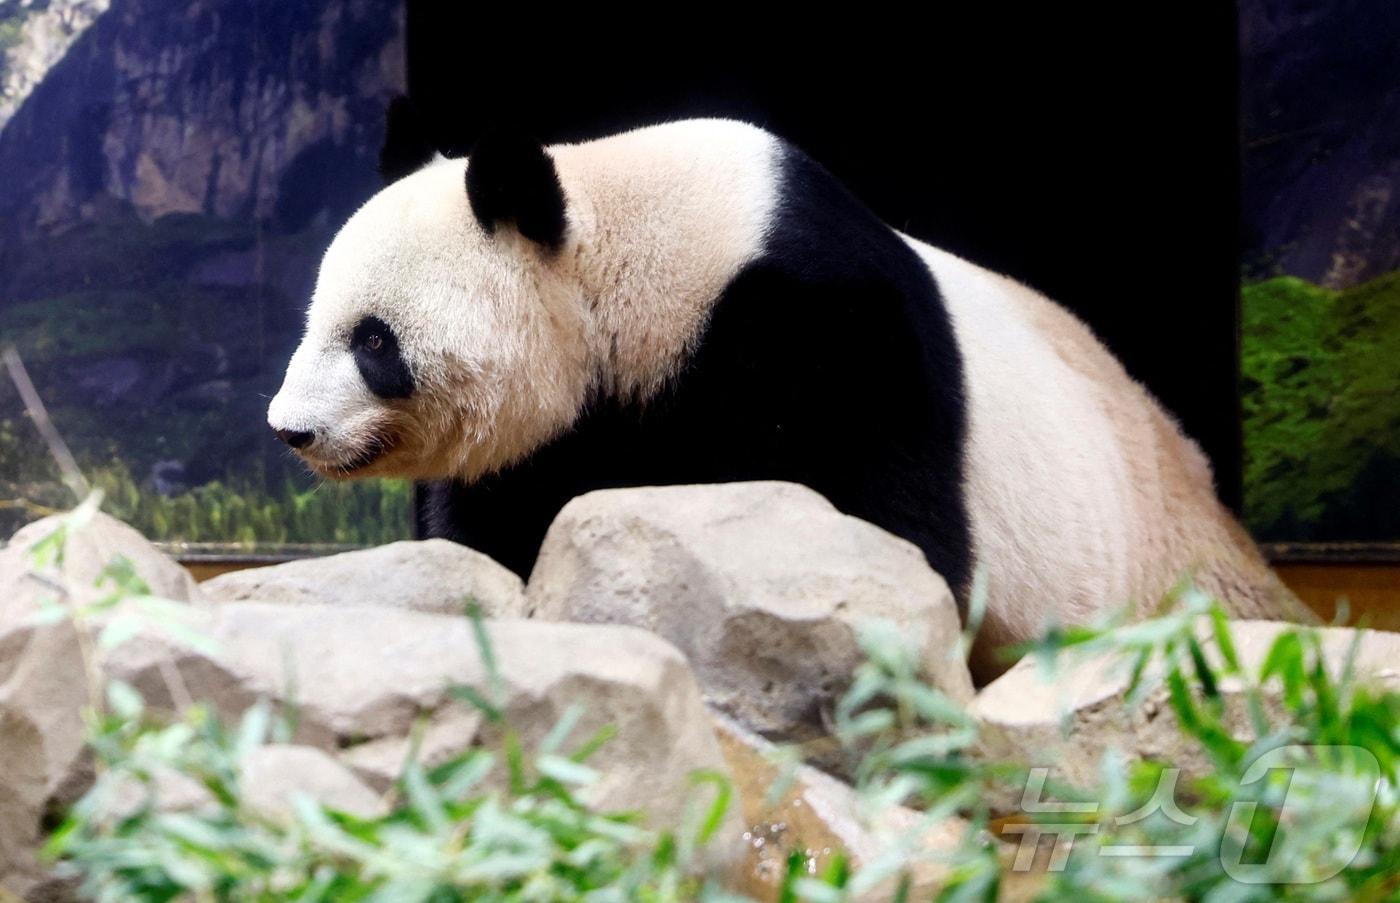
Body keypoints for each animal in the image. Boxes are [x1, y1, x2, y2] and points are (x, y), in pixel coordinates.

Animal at [264, 103, 1310, 677]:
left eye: (372, 340)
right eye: (313, 321)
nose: (291, 430)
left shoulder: (829, 327)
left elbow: (888, 524)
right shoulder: (564, 425)